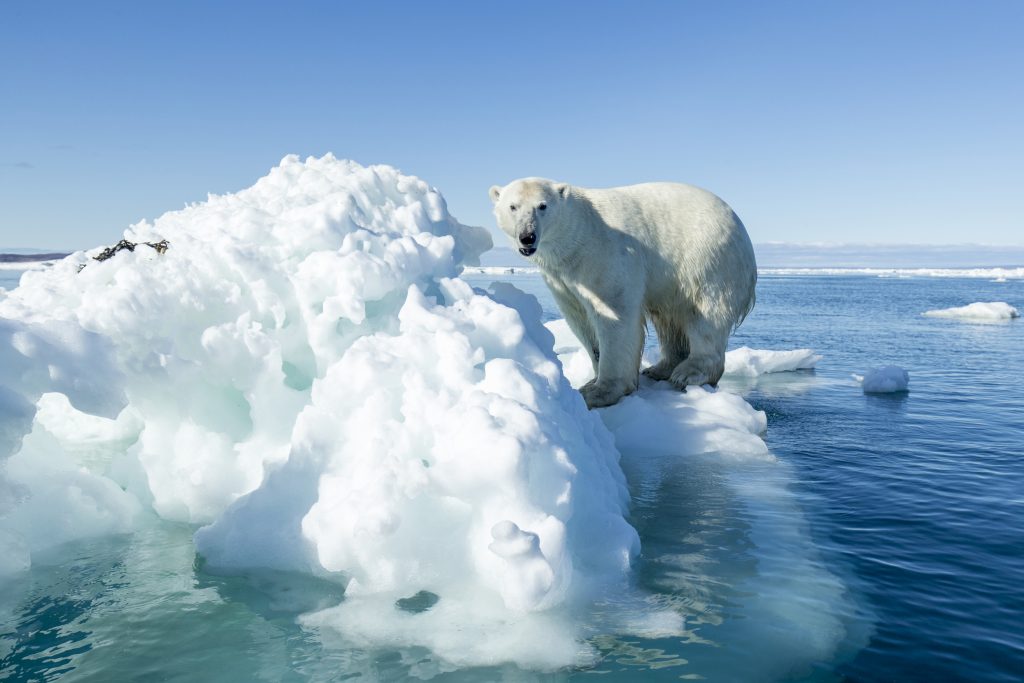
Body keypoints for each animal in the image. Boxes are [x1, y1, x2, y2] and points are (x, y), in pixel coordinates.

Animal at [487, 179, 753, 409]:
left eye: (542, 206)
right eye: (513, 206)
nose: (527, 237)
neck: (577, 235)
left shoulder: (605, 256)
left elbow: (615, 315)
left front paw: (599, 391)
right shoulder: (561, 279)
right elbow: (581, 321)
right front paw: (592, 379)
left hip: (707, 260)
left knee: (706, 314)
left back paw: (689, 372)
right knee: (668, 320)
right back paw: (660, 368)